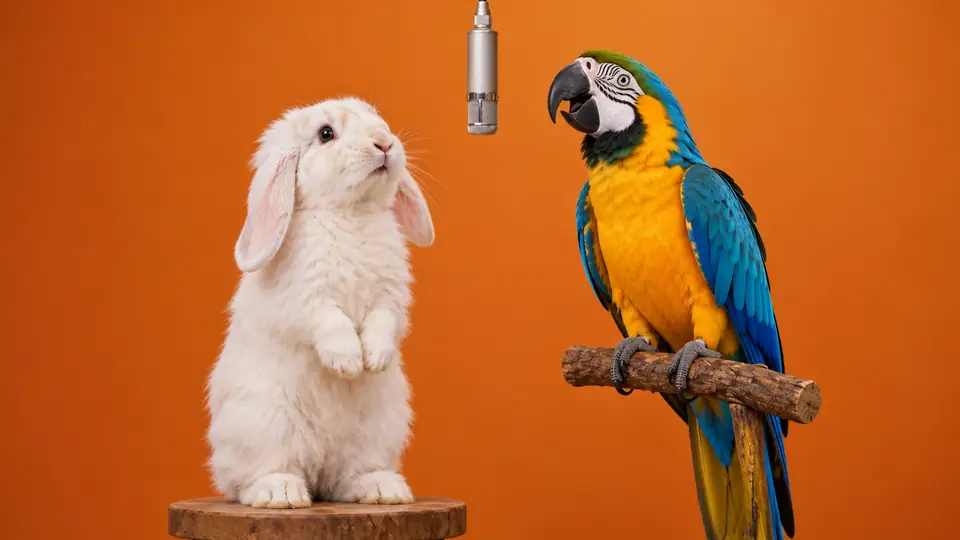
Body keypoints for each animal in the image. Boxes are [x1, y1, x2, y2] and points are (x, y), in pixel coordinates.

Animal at [205, 96, 435, 509]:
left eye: (380, 121)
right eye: (326, 134)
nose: (384, 143)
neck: (350, 213)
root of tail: (318, 469)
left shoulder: (390, 297)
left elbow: (382, 322)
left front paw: (374, 360)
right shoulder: (304, 300)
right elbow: (330, 322)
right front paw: (348, 363)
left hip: (378, 429)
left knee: (349, 477)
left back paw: (383, 489)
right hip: (263, 423)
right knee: (252, 478)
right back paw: (280, 493)